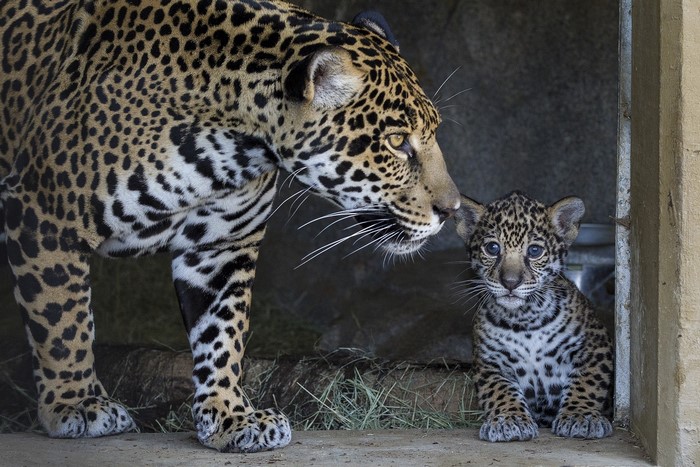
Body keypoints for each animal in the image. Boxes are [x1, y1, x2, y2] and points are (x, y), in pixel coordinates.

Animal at [0, 0, 461, 453]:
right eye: (397, 142)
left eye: (434, 131)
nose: (452, 209)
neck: (231, 145)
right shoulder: (42, 216)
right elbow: (63, 321)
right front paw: (76, 404)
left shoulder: (221, 245)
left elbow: (222, 333)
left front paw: (230, 416)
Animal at [454, 191, 613, 442]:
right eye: (492, 248)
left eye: (535, 251)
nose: (510, 282)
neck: (525, 319)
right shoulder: (489, 362)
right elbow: (500, 390)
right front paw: (509, 420)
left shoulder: (596, 347)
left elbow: (587, 382)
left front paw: (581, 416)